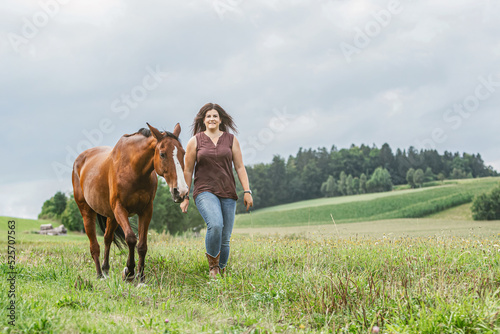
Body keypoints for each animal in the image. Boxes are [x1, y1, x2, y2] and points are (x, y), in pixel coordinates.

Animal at [71, 122, 187, 282]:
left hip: (111, 216)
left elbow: (142, 245)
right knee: (94, 246)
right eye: (162, 154)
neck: (133, 169)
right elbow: (131, 239)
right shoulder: (120, 208)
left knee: (107, 238)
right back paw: (99, 275)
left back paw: (106, 270)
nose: (180, 191)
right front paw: (129, 272)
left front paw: (141, 277)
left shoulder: (146, 210)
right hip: (87, 212)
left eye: (184, 153)